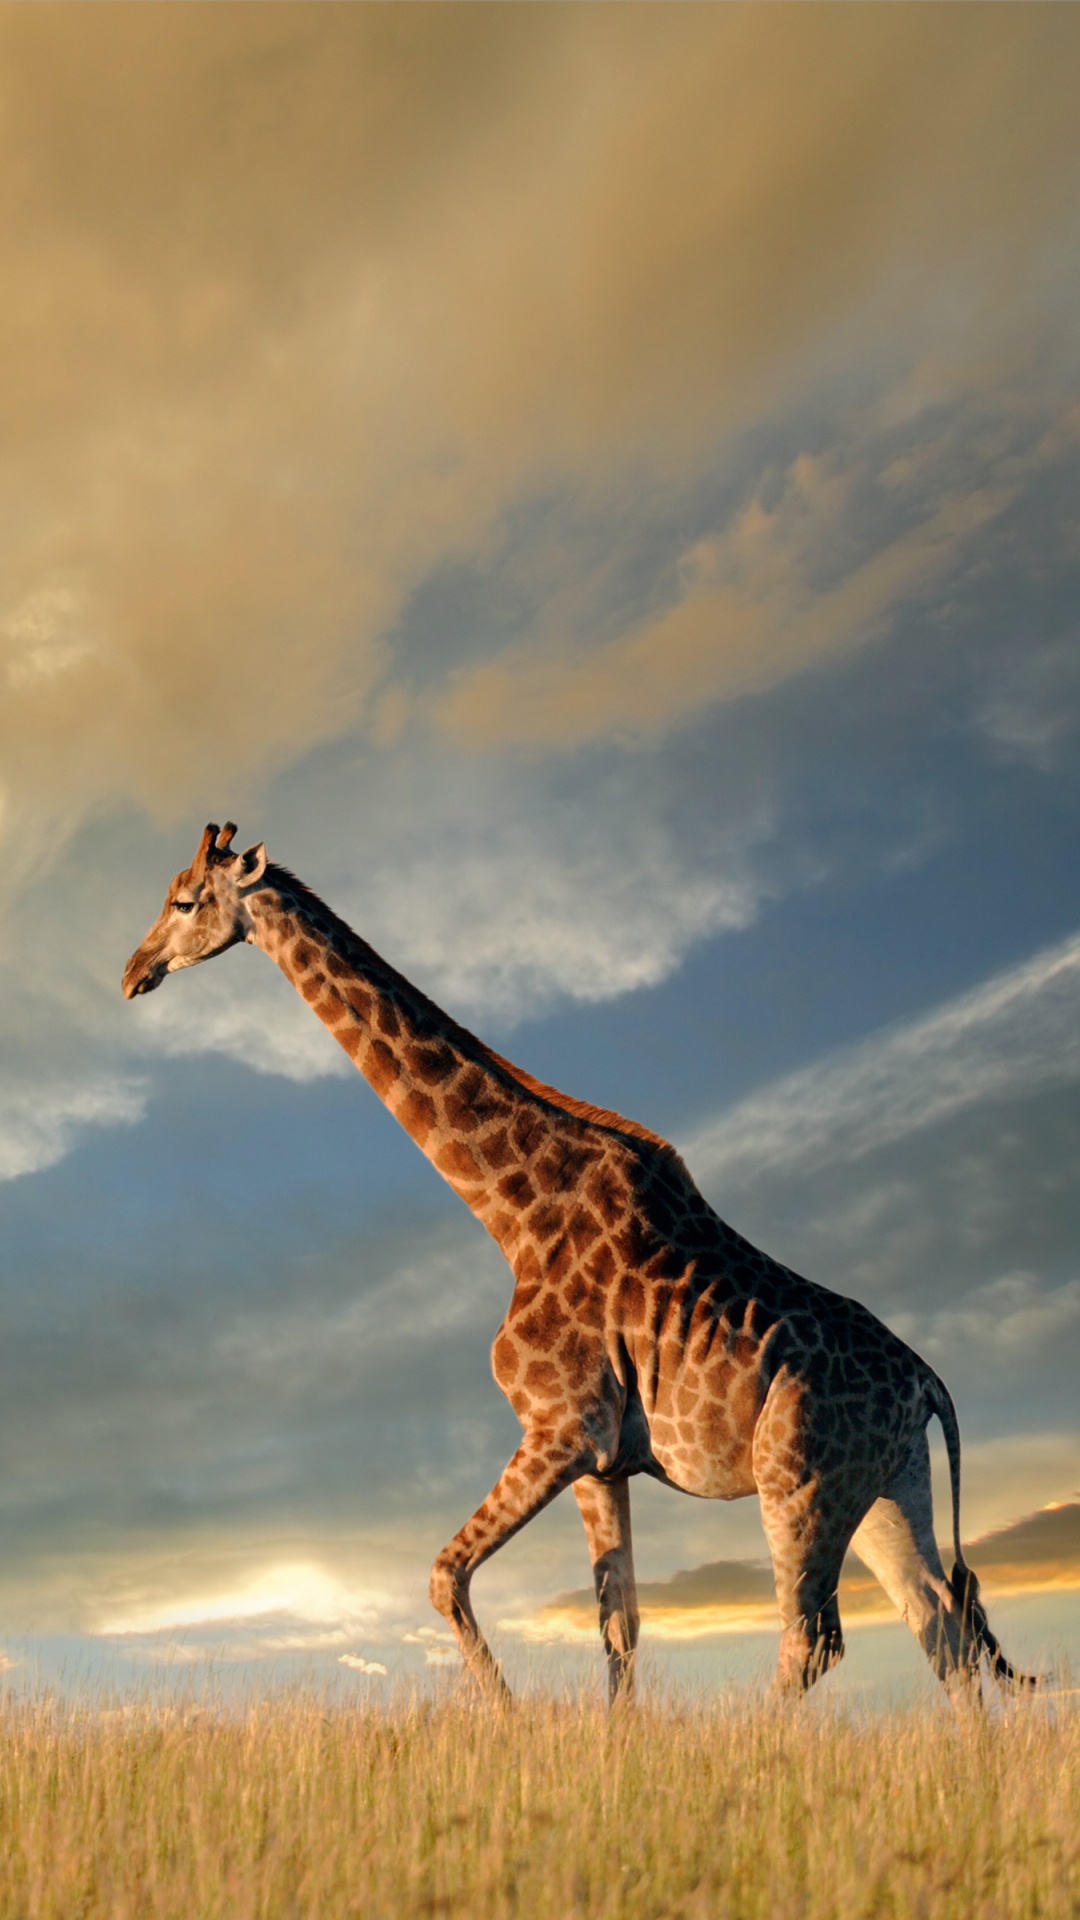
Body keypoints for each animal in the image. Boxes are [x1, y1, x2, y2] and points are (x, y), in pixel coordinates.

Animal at [122, 829, 1030, 1712]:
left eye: (186, 900)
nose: (134, 973)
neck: (512, 1216)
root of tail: (925, 1382)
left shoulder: (560, 1427)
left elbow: (445, 1575)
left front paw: (512, 1721)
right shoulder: (602, 1460)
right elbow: (618, 1626)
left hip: (800, 1481)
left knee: (818, 1639)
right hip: (887, 1484)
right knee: (940, 1625)